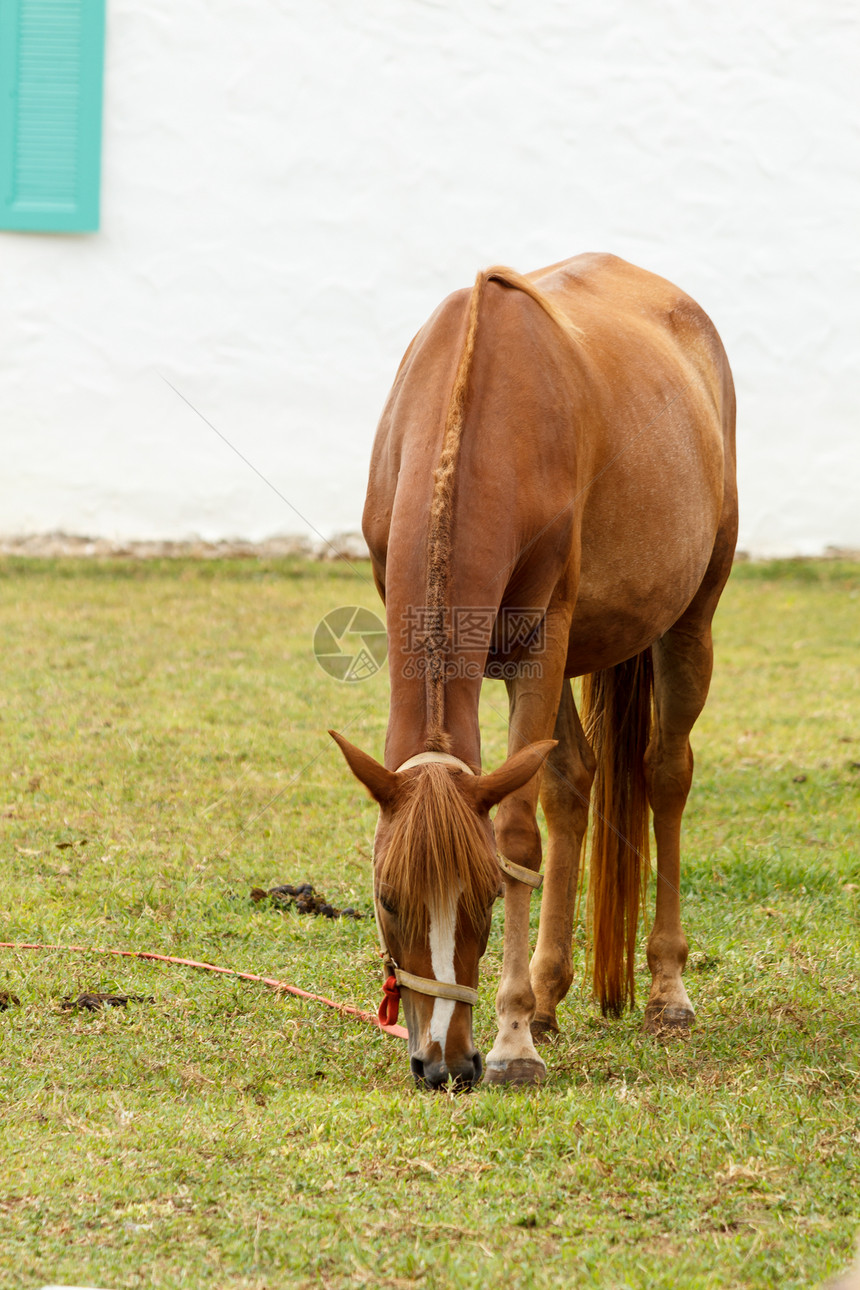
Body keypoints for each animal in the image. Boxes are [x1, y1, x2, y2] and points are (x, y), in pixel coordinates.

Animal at [332, 251, 737, 1088]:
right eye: (387, 899)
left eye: (487, 896)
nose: (444, 1063)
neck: (482, 406)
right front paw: (525, 1018)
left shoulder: (540, 639)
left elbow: (518, 836)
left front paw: (512, 1040)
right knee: (573, 781)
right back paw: (550, 996)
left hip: (688, 622)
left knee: (667, 774)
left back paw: (666, 992)